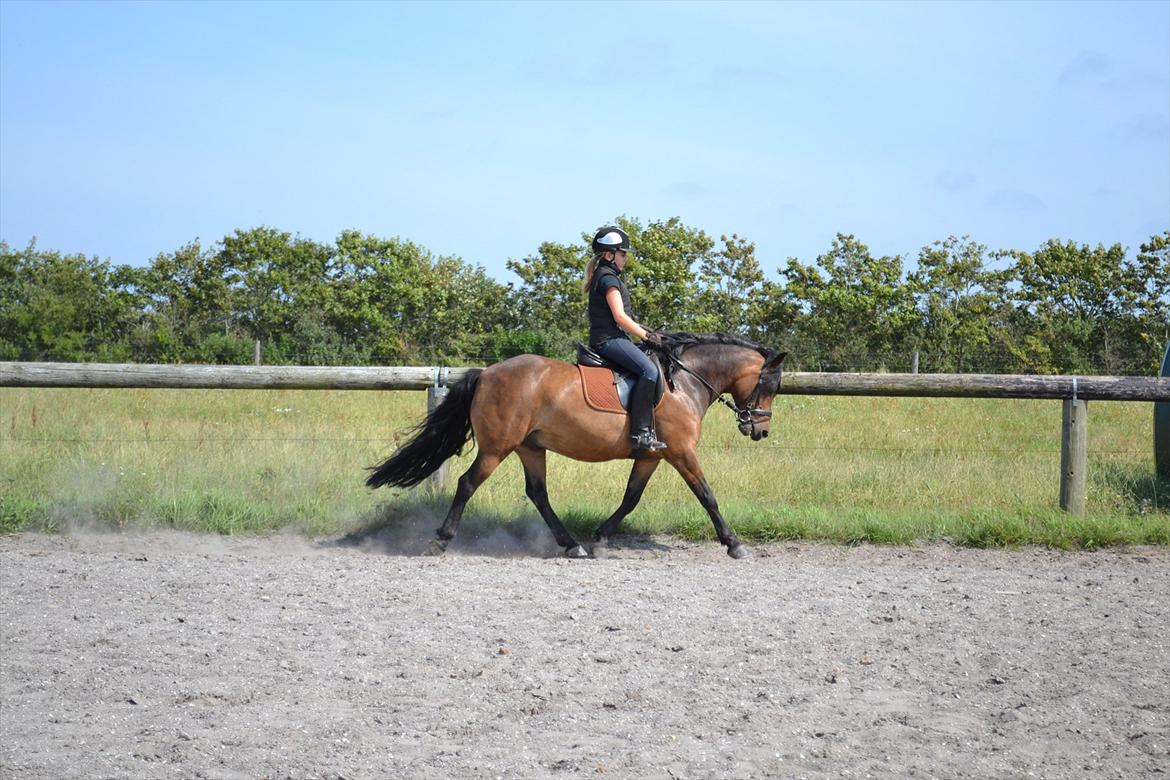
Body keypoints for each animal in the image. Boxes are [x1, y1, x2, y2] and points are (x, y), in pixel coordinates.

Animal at [365, 332, 786, 558]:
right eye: (770, 385)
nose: (760, 430)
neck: (683, 383)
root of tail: (486, 373)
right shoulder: (681, 452)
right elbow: (707, 495)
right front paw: (734, 543)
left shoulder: (652, 454)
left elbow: (630, 498)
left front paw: (599, 538)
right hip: (497, 447)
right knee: (468, 484)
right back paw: (440, 541)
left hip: (530, 447)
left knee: (538, 493)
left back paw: (571, 545)